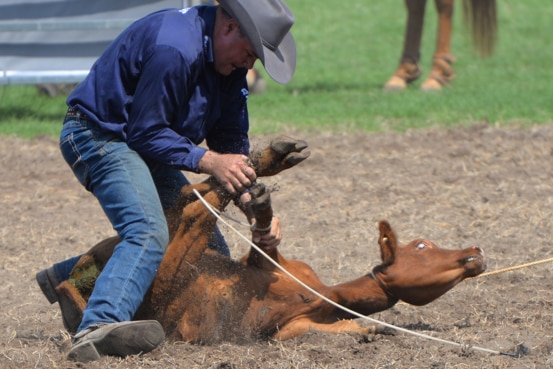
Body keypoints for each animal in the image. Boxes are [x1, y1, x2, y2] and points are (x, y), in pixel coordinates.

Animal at [52, 135, 484, 342]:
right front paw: (259, 200)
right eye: (422, 246)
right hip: (166, 276)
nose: (475, 250)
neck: (323, 294)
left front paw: (371, 330)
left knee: (191, 199)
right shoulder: (262, 267)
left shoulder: (288, 325)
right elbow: (258, 242)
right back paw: (256, 166)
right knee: (194, 211)